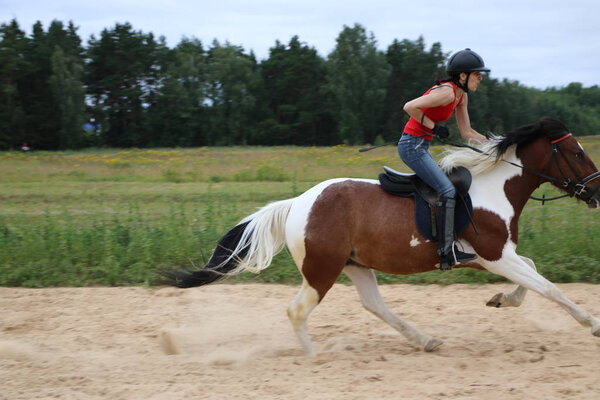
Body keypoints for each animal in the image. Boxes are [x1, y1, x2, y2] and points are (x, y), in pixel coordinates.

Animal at [163, 116, 600, 356]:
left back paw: (425, 340)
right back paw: (315, 356)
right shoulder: (494, 255)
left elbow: (533, 273)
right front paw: (592, 323)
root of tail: (297, 203)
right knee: (298, 311)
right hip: (322, 270)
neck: (494, 189)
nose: (596, 191)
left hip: (355, 264)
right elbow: (549, 287)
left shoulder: (496, 256)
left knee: (374, 305)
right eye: (577, 153)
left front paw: (500, 299)